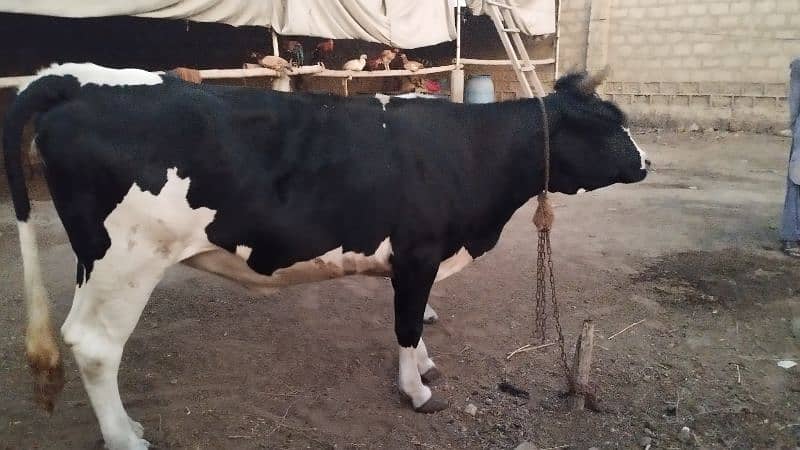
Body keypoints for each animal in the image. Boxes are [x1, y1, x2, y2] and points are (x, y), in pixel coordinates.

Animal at [3, 62, 648, 450]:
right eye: (606, 127)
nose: (646, 162)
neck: (470, 150)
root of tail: (78, 78)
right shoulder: (418, 253)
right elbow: (407, 325)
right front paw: (417, 392)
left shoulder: (420, 260)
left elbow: (418, 321)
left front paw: (426, 367)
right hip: (126, 259)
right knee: (94, 345)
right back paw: (126, 436)